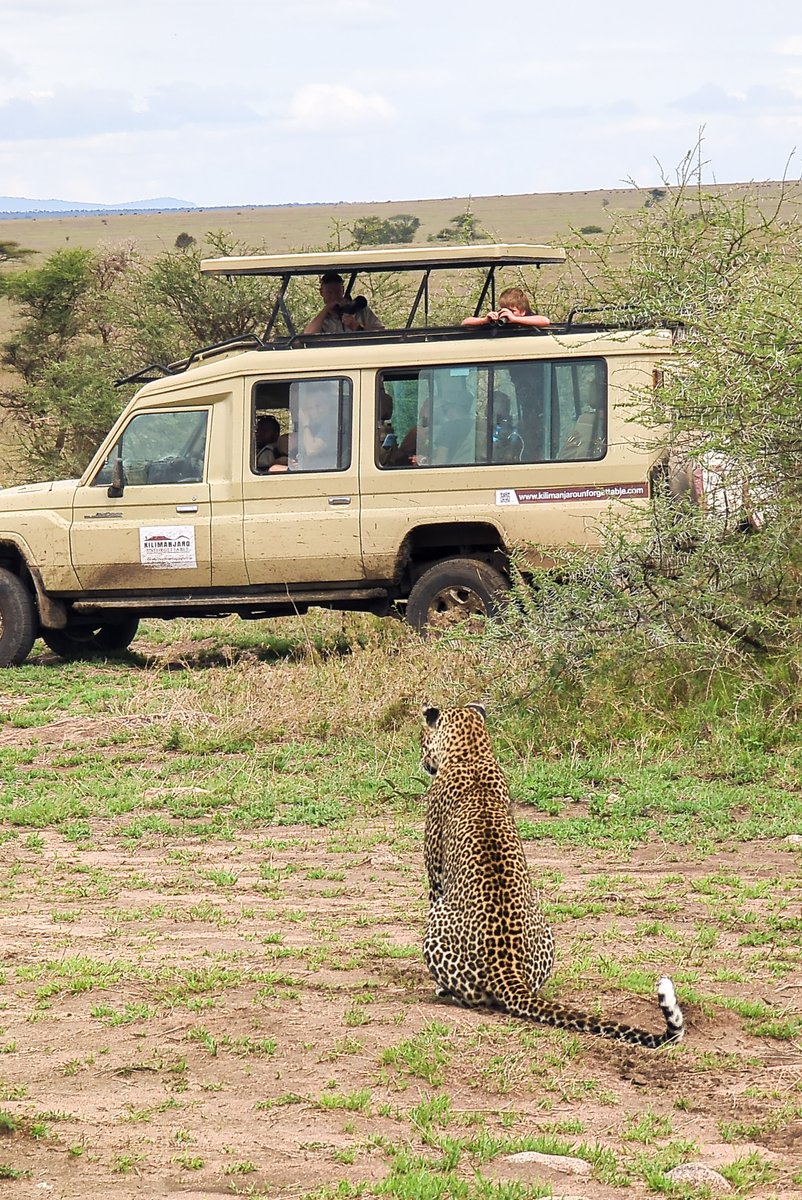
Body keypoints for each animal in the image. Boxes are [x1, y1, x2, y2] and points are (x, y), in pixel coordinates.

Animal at [420, 702, 685, 1049]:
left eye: (422, 738)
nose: (422, 759)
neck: (472, 753)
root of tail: (508, 973)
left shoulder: (436, 874)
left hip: (434, 927)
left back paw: (443, 990)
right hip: (547, 932)